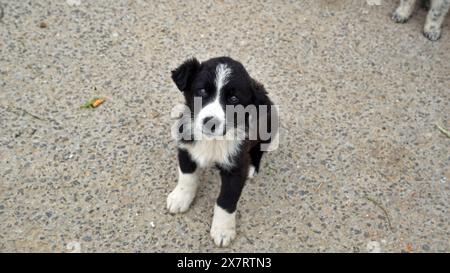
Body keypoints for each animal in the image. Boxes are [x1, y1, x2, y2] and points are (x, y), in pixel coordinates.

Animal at [167, 56, 276, 245]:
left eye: (233, 98)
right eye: (202, 91)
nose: (210, 122)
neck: (212, 141)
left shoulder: (236, 168)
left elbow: (226, 200)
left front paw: (223, 230)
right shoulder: (186, 148)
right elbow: (186, 177)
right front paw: (180, 198)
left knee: (260, 149)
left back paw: (252, 167)